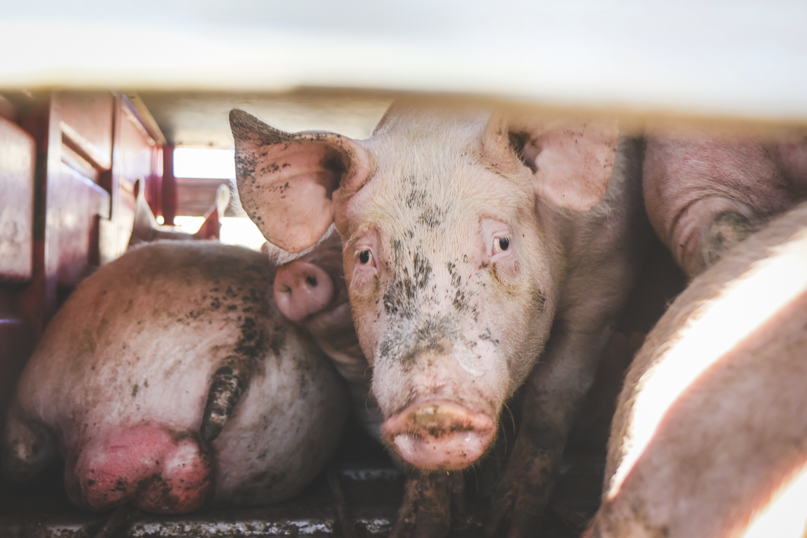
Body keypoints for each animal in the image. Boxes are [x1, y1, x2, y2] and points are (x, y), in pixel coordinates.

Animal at [229, 98, 648, 537]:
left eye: (502, 243)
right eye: (364, 256)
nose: (432, 406)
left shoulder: (603, 288)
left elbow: (551, 405)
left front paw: (508, 525)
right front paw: (417, 526)